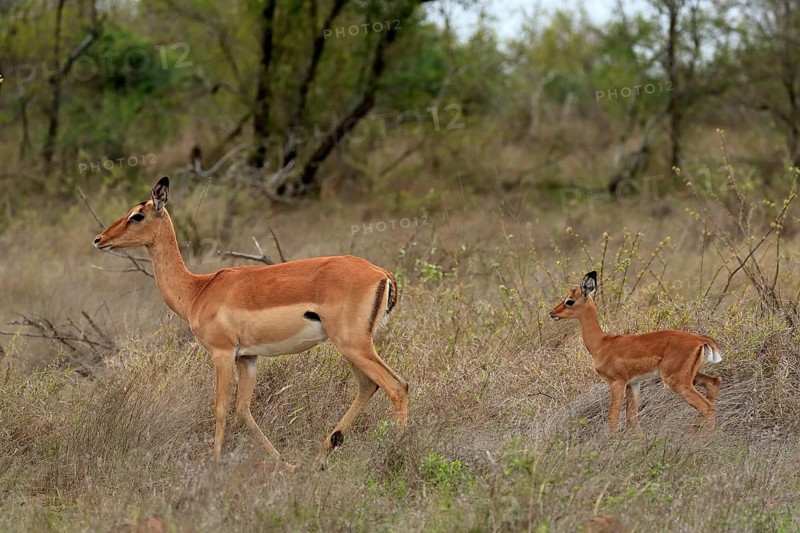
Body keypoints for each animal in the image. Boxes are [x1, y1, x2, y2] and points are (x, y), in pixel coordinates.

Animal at [93, 177, 408, 470]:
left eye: (137, 215)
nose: (99, 239)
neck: (198, 289)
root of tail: (382, 273)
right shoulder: (247, 357)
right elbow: (243, 410)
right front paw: (286, 465)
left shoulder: (222, 353)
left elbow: (220, 408)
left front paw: (214, 465)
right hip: (351, 347)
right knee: (369, 386)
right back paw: (322, 456)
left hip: (353, 344)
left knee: (396, 386)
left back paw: (393, 455)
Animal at [549, 271, 722, 433]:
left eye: (569, 301)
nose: (552, 313)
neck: (602, 343)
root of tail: (699, 339)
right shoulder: (633, 383)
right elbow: (632, 417)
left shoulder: (617, 382)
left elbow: (613, 418)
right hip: (690, 376)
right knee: (713, 383)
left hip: (676, 381)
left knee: (706, 406)